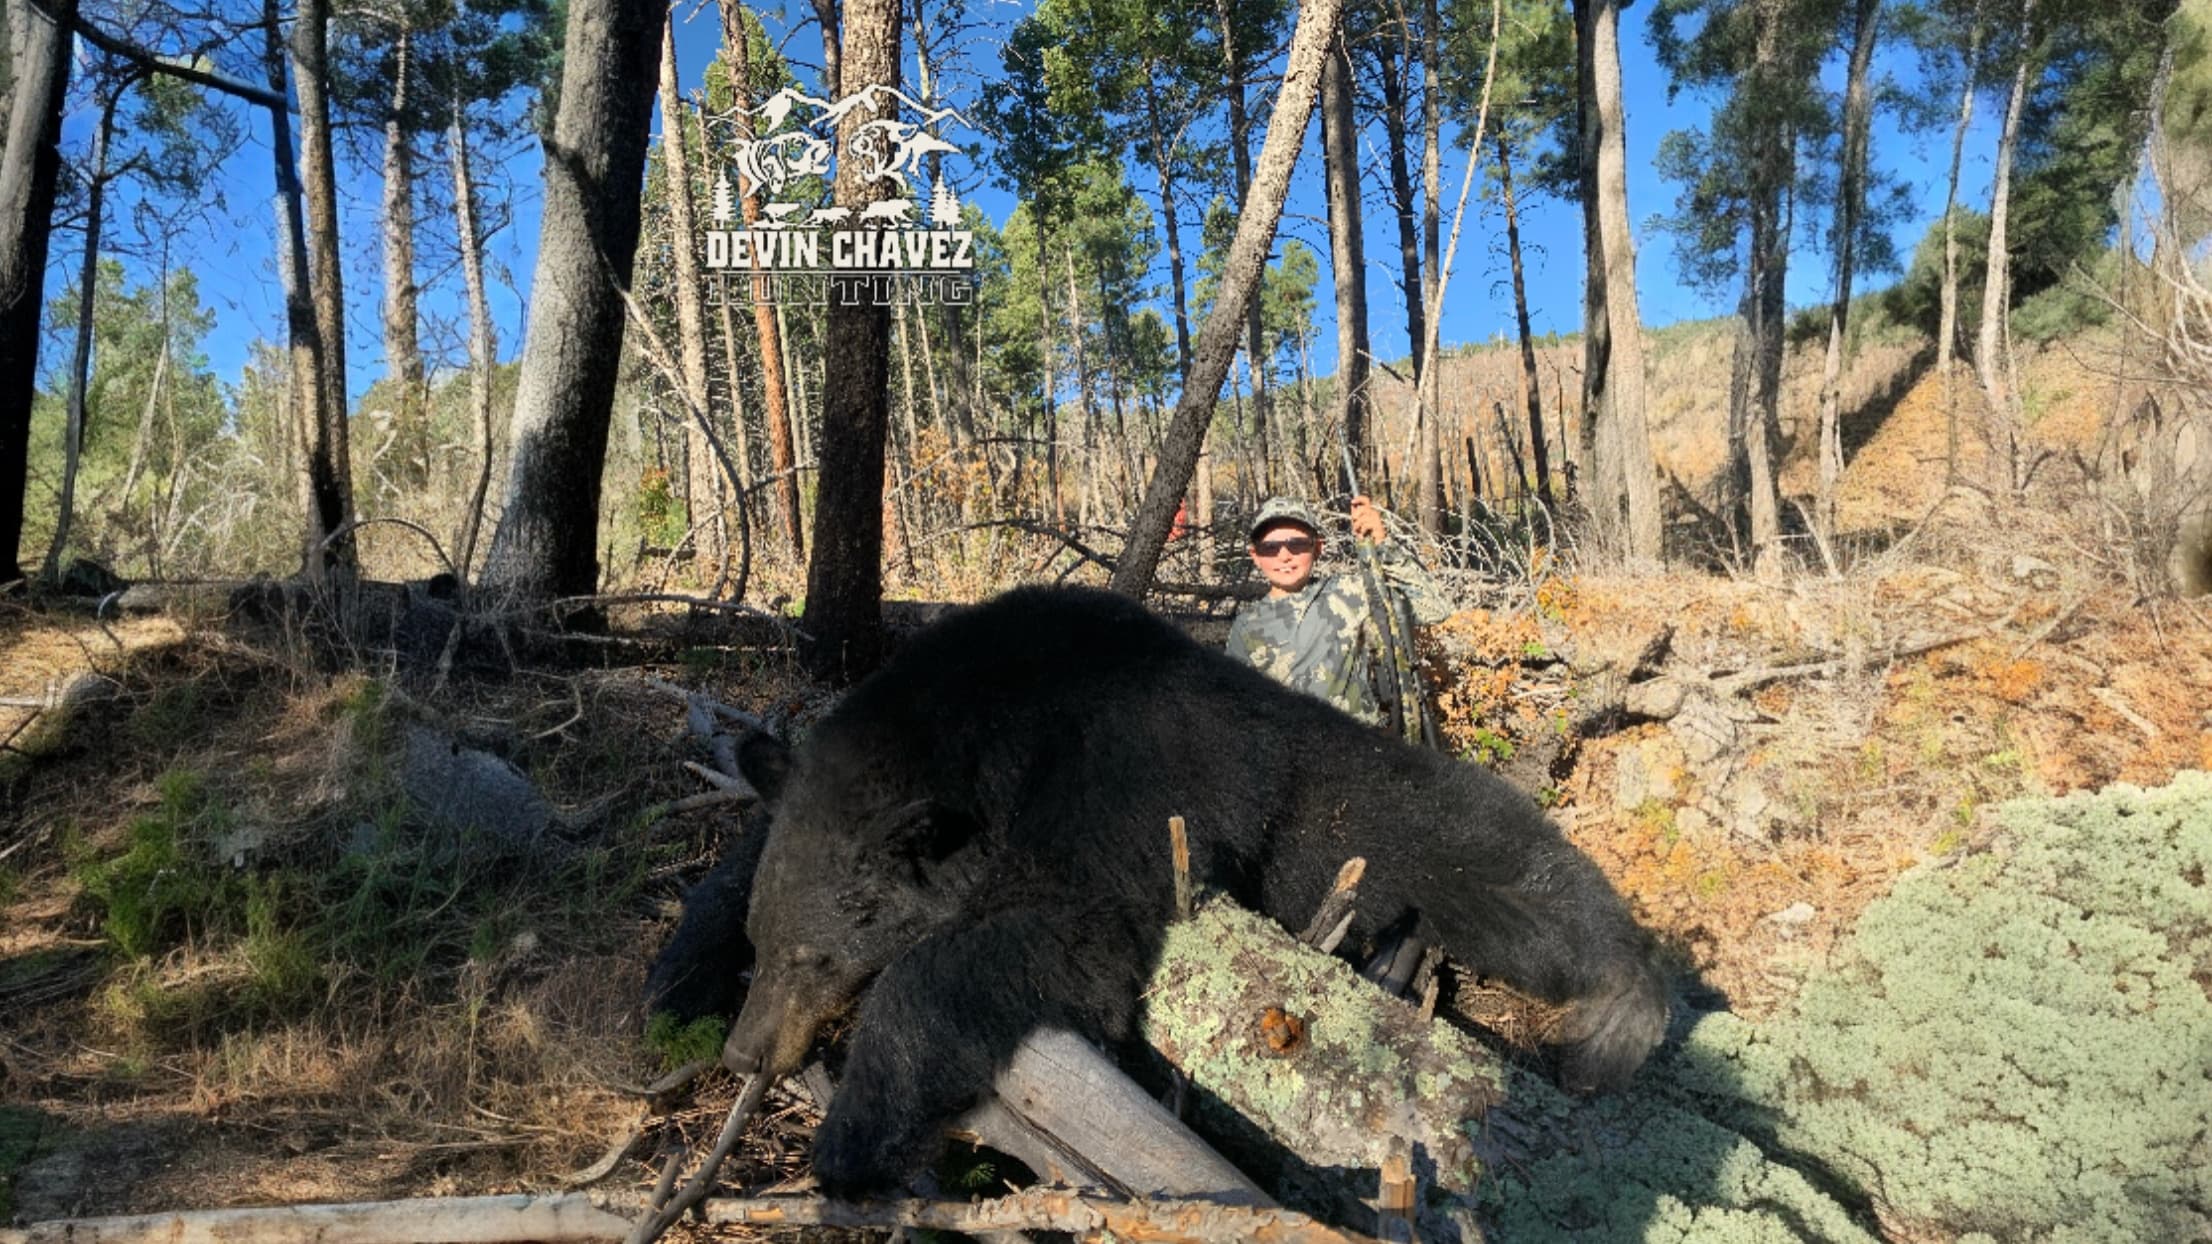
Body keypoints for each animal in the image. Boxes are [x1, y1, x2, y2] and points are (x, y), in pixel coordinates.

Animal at [652, 584, 1669, 1197]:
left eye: (816, 955)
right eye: (763, 942)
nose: (744, 1054)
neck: (991, 741)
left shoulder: (1120, 791)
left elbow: (1054, 942)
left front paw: (854, 1136)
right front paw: (672, 982)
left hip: (1382, 816)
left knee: (1517, 876)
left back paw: (1621, 1009)